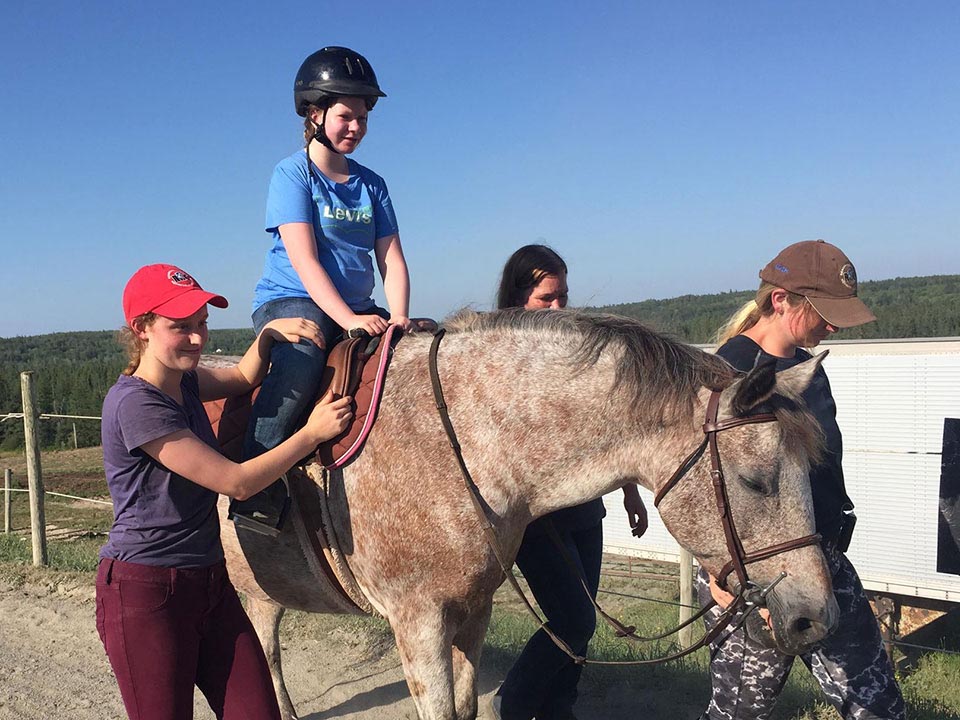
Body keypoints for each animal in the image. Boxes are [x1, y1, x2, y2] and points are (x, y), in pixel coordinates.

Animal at [221, 310, 836, 720]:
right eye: (754, 480)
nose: (817, 620)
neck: (465, 440)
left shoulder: (473, 608)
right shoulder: (417, 620)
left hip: (261, 589)